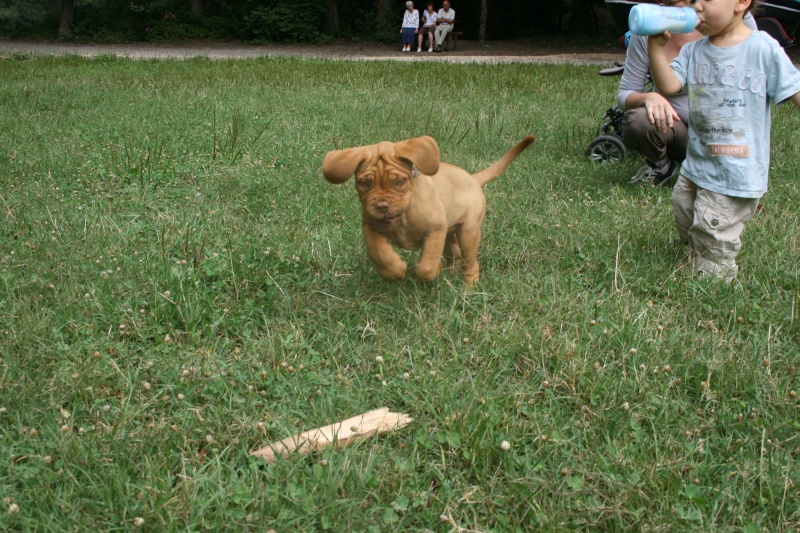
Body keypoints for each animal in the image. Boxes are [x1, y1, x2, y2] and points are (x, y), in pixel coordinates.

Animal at [322, 136, 536, 286]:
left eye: (399, 182)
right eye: (364, 183)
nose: (381, 206)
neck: (403, 217)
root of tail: (473, 178)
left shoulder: (435, 229)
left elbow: (427, 264)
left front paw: (432, 270)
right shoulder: (371, 227)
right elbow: (379, 252)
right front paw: (393, 270)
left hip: (468, 232)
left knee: (470, 260)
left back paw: (468, 285)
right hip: (450, 234)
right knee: (455, 254)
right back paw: (449, 274)